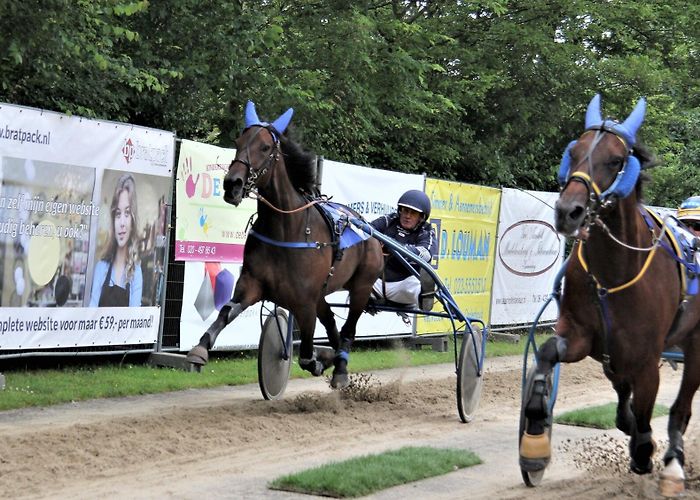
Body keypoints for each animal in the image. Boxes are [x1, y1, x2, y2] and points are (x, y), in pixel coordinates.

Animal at [186, 101, 382, 388]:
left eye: (265, 147)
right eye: (238, 142)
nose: (232, 184)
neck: (286, 229)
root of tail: (368, 228)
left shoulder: (304, 302)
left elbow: (306, 356)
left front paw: (321, 360)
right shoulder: (253, 285)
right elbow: (226, 312)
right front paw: (199, 349)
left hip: (361, 286)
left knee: (348, 329)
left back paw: (340, 368)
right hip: (322, 293)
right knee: (332, 323)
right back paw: (337, 358)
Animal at [520, 94, 700, 496]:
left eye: (616, 160)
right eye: (573, 151)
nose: (568, 211)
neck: (612, 271)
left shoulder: (647, 357)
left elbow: (647, 414)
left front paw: (644, 450)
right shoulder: (583, 336)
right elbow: (547, 356)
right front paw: (535, 441)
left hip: (696, 342)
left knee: (682, 405)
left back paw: (673, 465)